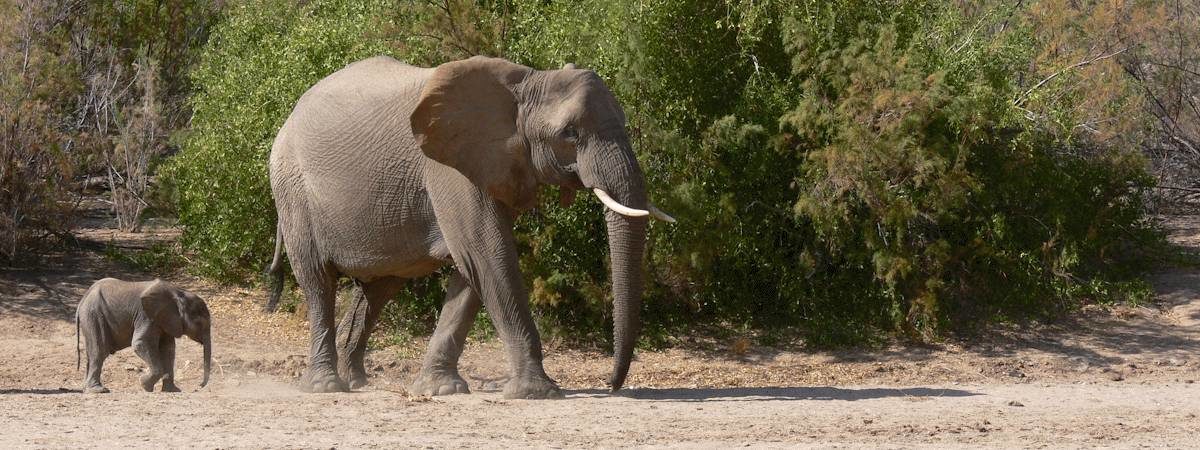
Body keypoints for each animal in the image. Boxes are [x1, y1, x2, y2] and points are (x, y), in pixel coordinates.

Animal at [75, 278, 213, 393]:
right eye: (200, 323)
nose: (198, 387)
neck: (179, 292)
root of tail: (82, 301)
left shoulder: (165, 319)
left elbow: (168, 349)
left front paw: (172, 391)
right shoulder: (146, 316)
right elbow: (140, 343)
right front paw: (145, 385)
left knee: (91, 353)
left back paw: (86, 389)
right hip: (94, 315)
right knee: (99, 350)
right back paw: (98, 390)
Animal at [266, 55, 672, 398]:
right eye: (570, 134)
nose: (613, 385)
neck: (526, 81)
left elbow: (472, 269)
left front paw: (441, 390)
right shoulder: (449, 168)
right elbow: (487, 253)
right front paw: (537, 393)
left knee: (378, 288)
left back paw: (357, 382)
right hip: (292, 189)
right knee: (318, 281)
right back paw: (326, 387)